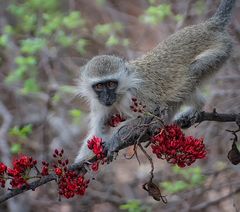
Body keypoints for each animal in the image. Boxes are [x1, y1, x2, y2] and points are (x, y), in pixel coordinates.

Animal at [74, 0, 234, 163]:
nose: (106, 97)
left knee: (191, 74)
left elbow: (151, 113)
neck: (121, 92)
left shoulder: (135, 95)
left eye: (111, 84)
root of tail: (209, 26)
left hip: (220, 52)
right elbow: (99, 130)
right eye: (99, 86)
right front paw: (79, 163)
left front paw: (114, 140)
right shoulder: (98, 104)